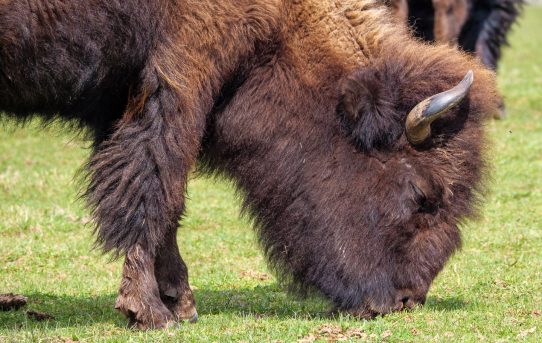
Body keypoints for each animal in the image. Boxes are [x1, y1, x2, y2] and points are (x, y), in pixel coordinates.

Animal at [1, 0, 502, 330]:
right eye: (423, 195)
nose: (405, 299)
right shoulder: (181, 75)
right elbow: (154, 185)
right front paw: (152, 312)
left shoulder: (124, 97)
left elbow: (163, 195)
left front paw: (180, 303)